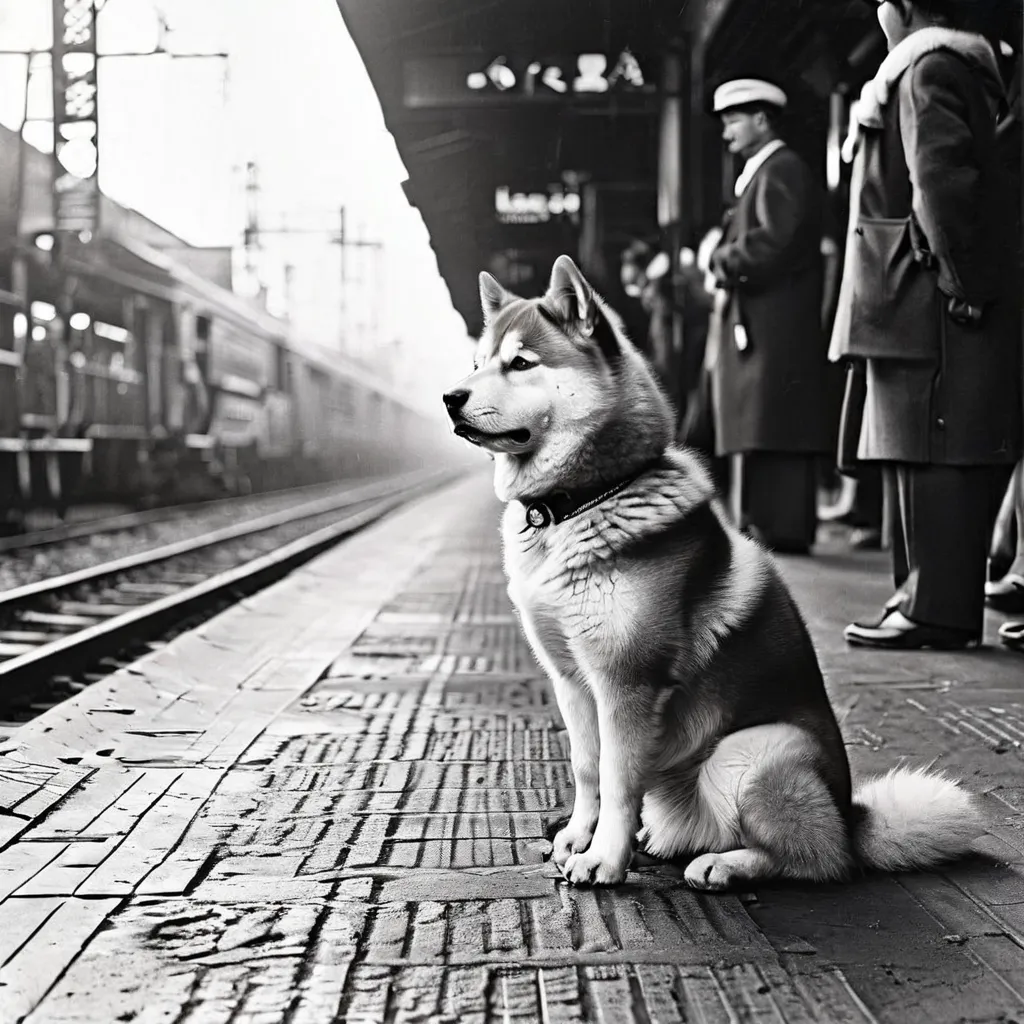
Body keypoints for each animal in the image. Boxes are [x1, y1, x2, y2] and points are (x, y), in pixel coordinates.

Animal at [442, 253, 983, 888]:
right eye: (477, 363)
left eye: (521, 362)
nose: (450, 396)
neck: (582, 501)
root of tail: (851, 816)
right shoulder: (571, 679)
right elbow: (587, 768)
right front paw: (578, 835)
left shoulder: (627, 684)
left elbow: (619, 779)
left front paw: (603, 858)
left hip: (752, 752)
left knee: (815, 860)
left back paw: (726, 865)